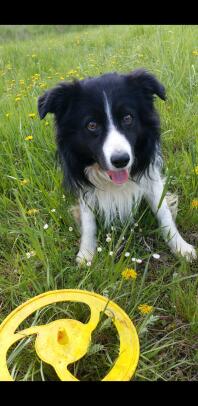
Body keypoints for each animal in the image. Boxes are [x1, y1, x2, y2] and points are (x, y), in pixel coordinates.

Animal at [37, 68, 196, 264]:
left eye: (127, 118)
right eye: (91, 125)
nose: (121, 160)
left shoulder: (150, 177)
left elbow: (163, 212)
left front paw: (181, 247)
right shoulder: (84, 185)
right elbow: (88, 220)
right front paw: (86, 253)